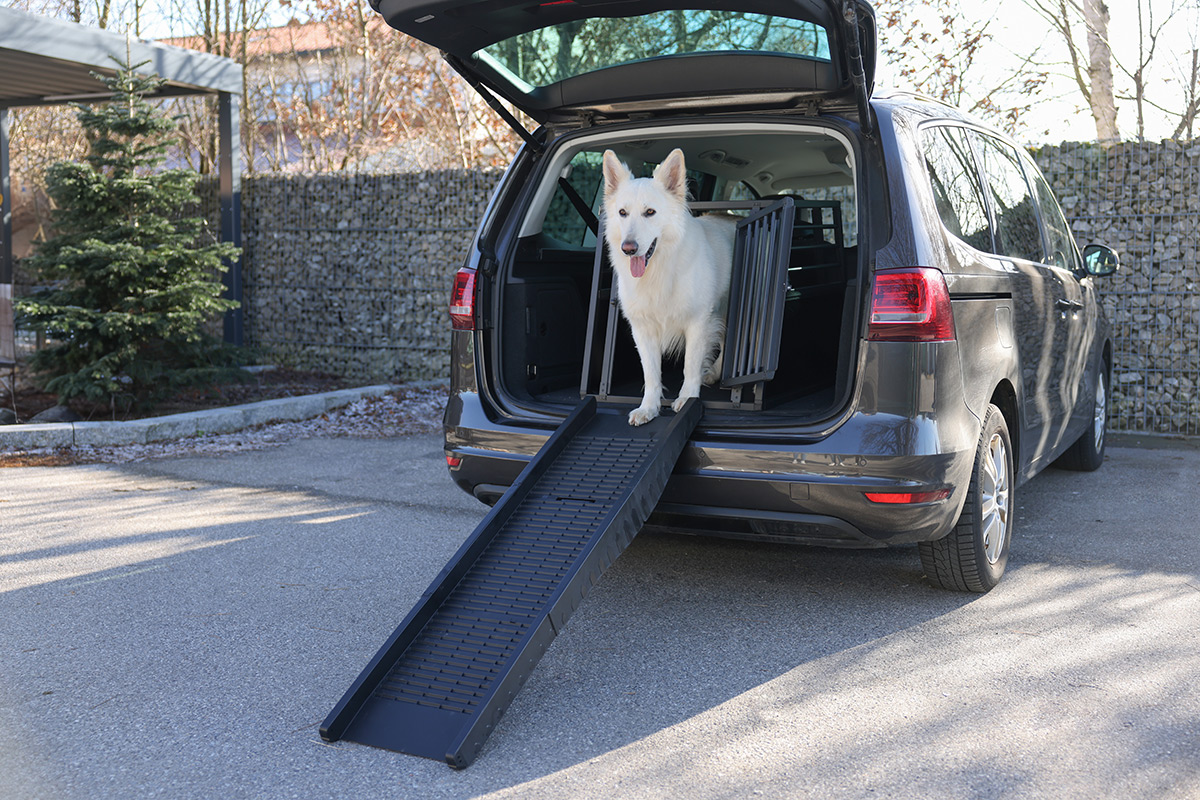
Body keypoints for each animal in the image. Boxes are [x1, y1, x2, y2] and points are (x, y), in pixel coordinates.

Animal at [597, 148, 729, 424]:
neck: (659, 270)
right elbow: (650, 374)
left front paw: (687, 398)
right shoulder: (643, 330)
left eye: (650, 212)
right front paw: (649, 408)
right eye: (622, 213)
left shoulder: (698, 323)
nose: (628, 249)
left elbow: (690, 365)